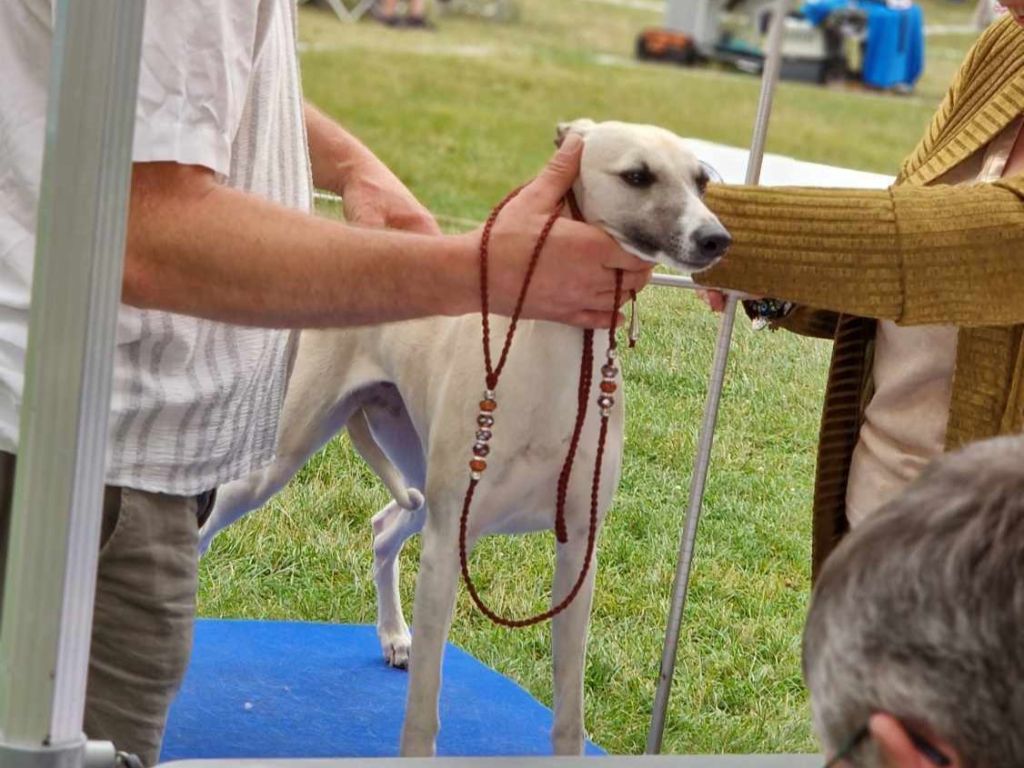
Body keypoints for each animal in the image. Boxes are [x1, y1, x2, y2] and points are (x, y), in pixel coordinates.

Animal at [199, 118, 729, 757]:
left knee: (383, 528)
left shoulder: (578, 552)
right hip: (288, 460)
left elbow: (569, 710)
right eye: (637, 175)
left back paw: (393, 635)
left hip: (421, 482)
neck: (555, 361)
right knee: (212, 522)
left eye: (702, 180)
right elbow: (423, 710)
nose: (717, 239)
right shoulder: (446, 550)